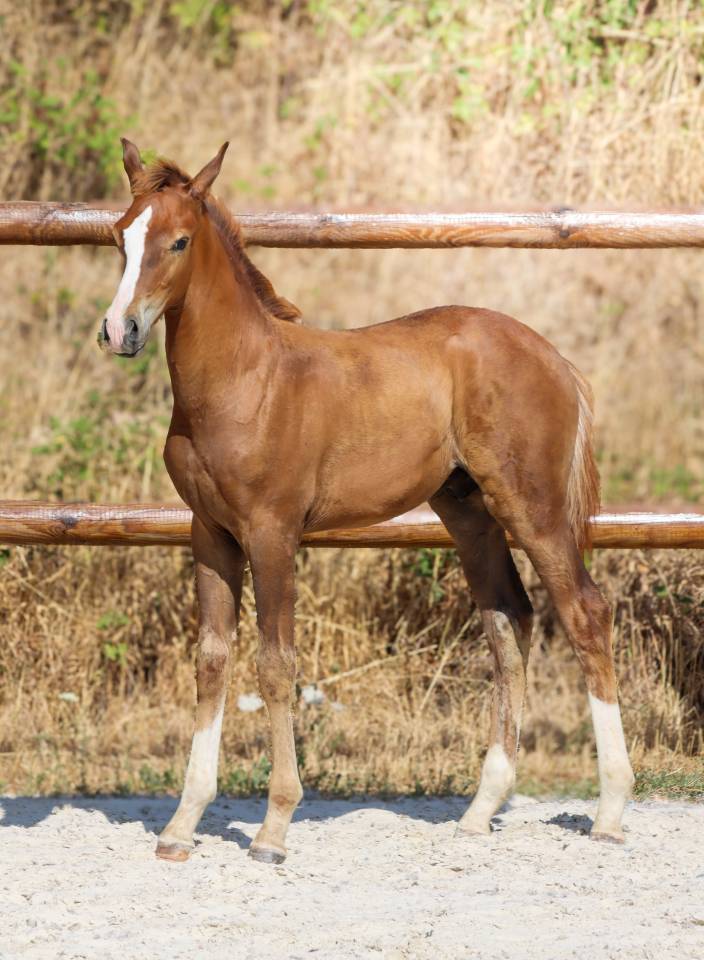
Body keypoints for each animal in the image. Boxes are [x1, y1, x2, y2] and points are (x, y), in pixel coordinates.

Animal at [99, 139, 634, 864]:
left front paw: (273, 828)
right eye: (120, 236)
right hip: (468, 513)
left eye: (179, 241)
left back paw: (609, 810)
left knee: (584, 614)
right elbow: (212, 661)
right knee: (508, 620)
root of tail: (552, 356)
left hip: (535, 508)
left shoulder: (272, 533)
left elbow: (275, 665)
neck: (243, 381)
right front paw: (182, 826)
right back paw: (480, 810)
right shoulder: (208, 534)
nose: (119, 329)